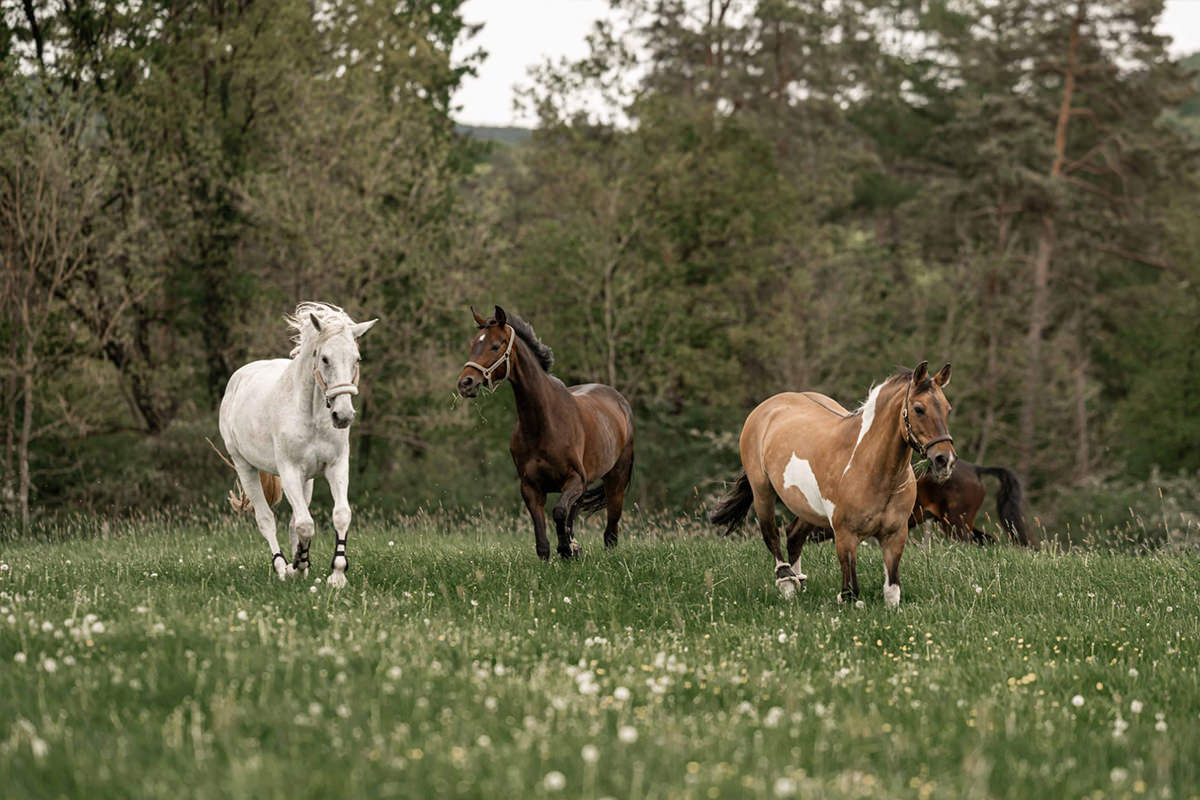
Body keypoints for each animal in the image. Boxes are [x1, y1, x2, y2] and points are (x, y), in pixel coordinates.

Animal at [218, 302, 377, 586]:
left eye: (356, 359)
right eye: (324, 359)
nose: (343, 416)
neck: (311, 414)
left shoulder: (336, 466)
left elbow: (339, 515)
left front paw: (336, 575)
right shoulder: (289, 470)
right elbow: (305, 524)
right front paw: (297, 565)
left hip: (307, 479)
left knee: (294, 520)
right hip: (245, 466)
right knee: (266, 519)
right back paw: (283, 567)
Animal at [456, 306, 634, 561]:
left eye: (496, 345)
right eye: (473, 344)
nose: (465, 383)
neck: (543, 424)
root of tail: (620, 401)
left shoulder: (573, 479)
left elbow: (559, 512)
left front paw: (566, 549)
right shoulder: (531, 486)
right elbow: (542, 537)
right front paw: (561, 551)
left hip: (615, 480)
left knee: (610, 528)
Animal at [709, 362, 956, 605]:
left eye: (947, 408)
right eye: (919, 409)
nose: (945, 460)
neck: (871, 468)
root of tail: (767, 407)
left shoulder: (895, 536)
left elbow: (891, 592)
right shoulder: (846, 536)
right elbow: (850, 593)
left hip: (808, 507)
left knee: (794, 537)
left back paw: (799, 583)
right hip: (762, 492)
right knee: (772, 535)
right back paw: (788, 586)